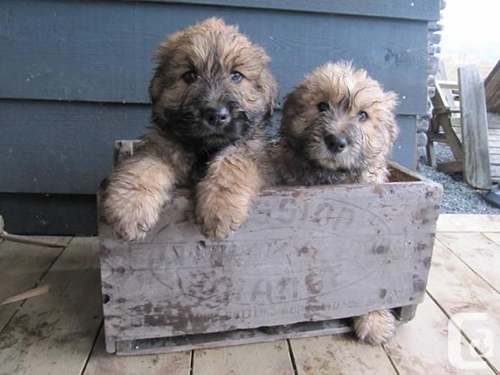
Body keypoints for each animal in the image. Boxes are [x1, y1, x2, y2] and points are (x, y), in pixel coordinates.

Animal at [104, 18, 278, 241]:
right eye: (190, 76)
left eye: (236, 76)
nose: (216, 115)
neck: (203, 149)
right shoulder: (161, 148)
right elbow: (142, 166)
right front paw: (129, 207)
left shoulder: (253, 153)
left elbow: (232, 164)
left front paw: (220, 208)